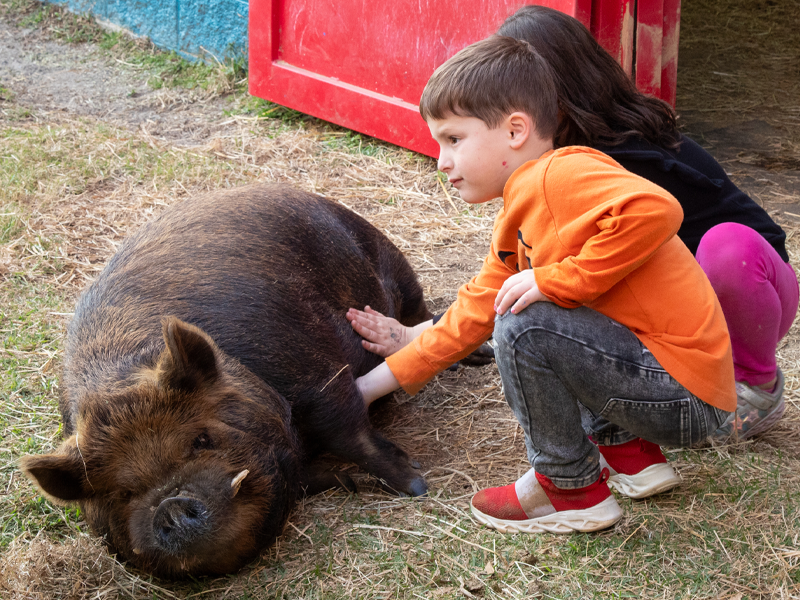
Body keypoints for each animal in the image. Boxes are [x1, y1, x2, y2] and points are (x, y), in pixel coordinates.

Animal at [19, 183, 433, 578]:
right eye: (123, 493)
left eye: (202, 439)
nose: (169, 504)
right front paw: (347, 482)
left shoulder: (315, 375)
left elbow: (351, 433)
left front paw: (415, 485)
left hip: (393, 262)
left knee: (420, 313)